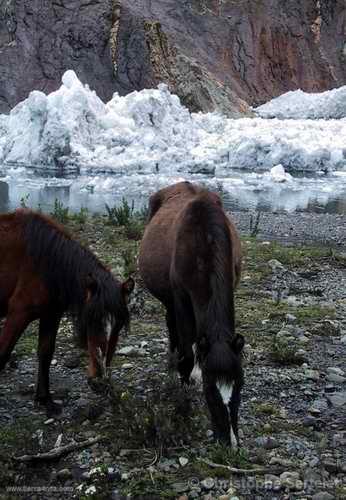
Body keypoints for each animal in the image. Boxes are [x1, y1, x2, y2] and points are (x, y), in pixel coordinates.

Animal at [0, 208, 134, 414]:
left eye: (119, 326)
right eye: (91, 320)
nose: (99, 381)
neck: (45, 263)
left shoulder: (51, 314)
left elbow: (45, 353)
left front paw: (45, 399)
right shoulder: (18, 313)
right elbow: (2, 354)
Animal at [139, 181, 243, 446]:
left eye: (240, 385)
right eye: (210, 389)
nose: (230, 442)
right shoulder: (181, 298)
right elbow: (185, 353)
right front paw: (183, 390)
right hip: (169, 301)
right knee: (173, 329)